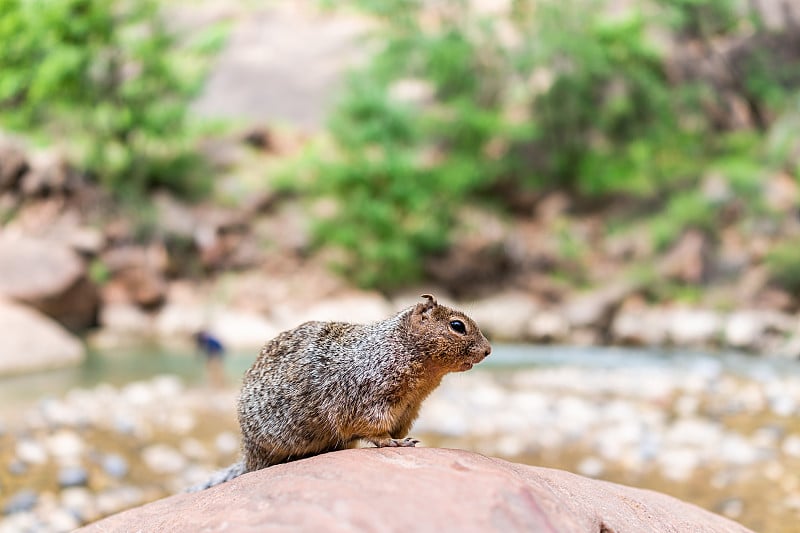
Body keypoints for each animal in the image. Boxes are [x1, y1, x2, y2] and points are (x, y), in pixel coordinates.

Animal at [191, 294, 490, 488]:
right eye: (457, 326)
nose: (488, 350)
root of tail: (247, 455)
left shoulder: (409, 409)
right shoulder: (368, 398)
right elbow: (375, 431)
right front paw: (395, 443)